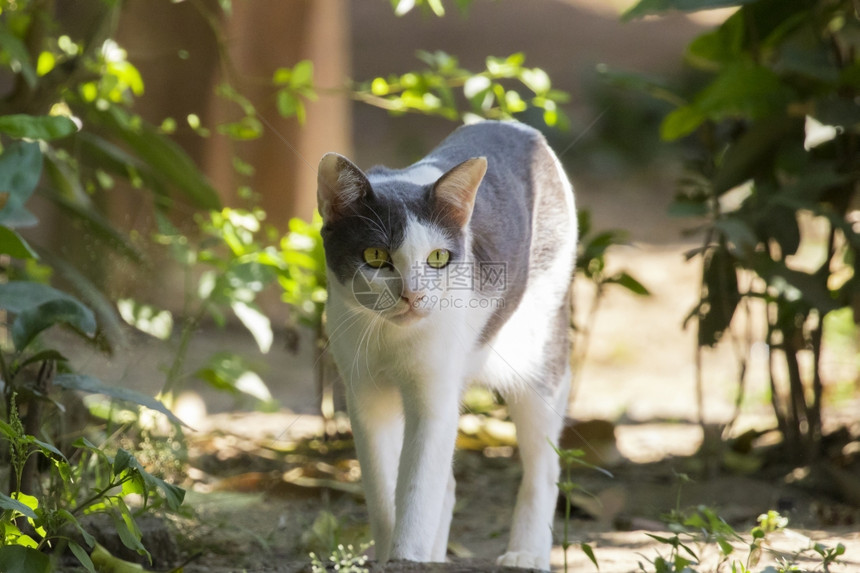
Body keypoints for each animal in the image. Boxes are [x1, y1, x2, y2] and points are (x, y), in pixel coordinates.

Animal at [316, 119, 576, 568]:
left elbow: (418, 488)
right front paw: (392, 554)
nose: (414, 295)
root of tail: (519, 127)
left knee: (542, 469)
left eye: (438, 258)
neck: (390, 336)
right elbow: (384, 490)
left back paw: (525, 554)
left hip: (539, 356)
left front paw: (406, 557)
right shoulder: (363, 395)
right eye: (375, 255)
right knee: (449, 484)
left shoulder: (433, 396)